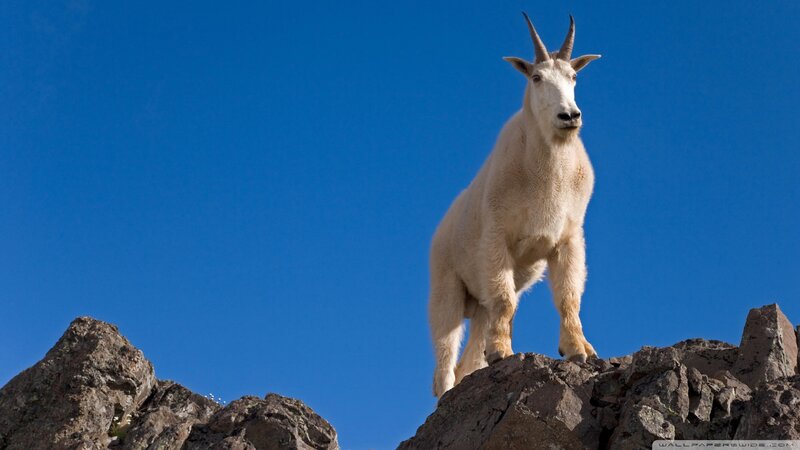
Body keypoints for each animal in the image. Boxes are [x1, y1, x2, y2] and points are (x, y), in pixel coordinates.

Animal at [429, 13, 602, 398]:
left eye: (574, 77)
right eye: (536, 78)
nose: (569, 116)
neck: (548, 171)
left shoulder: (569, 239)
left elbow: (568, 296)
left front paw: (579, 349)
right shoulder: (498, 237)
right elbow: (506, 300)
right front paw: (503, 353)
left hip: (478, 305)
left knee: (469, 355)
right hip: (446, 287)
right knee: (445, 358)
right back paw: (446, 394)